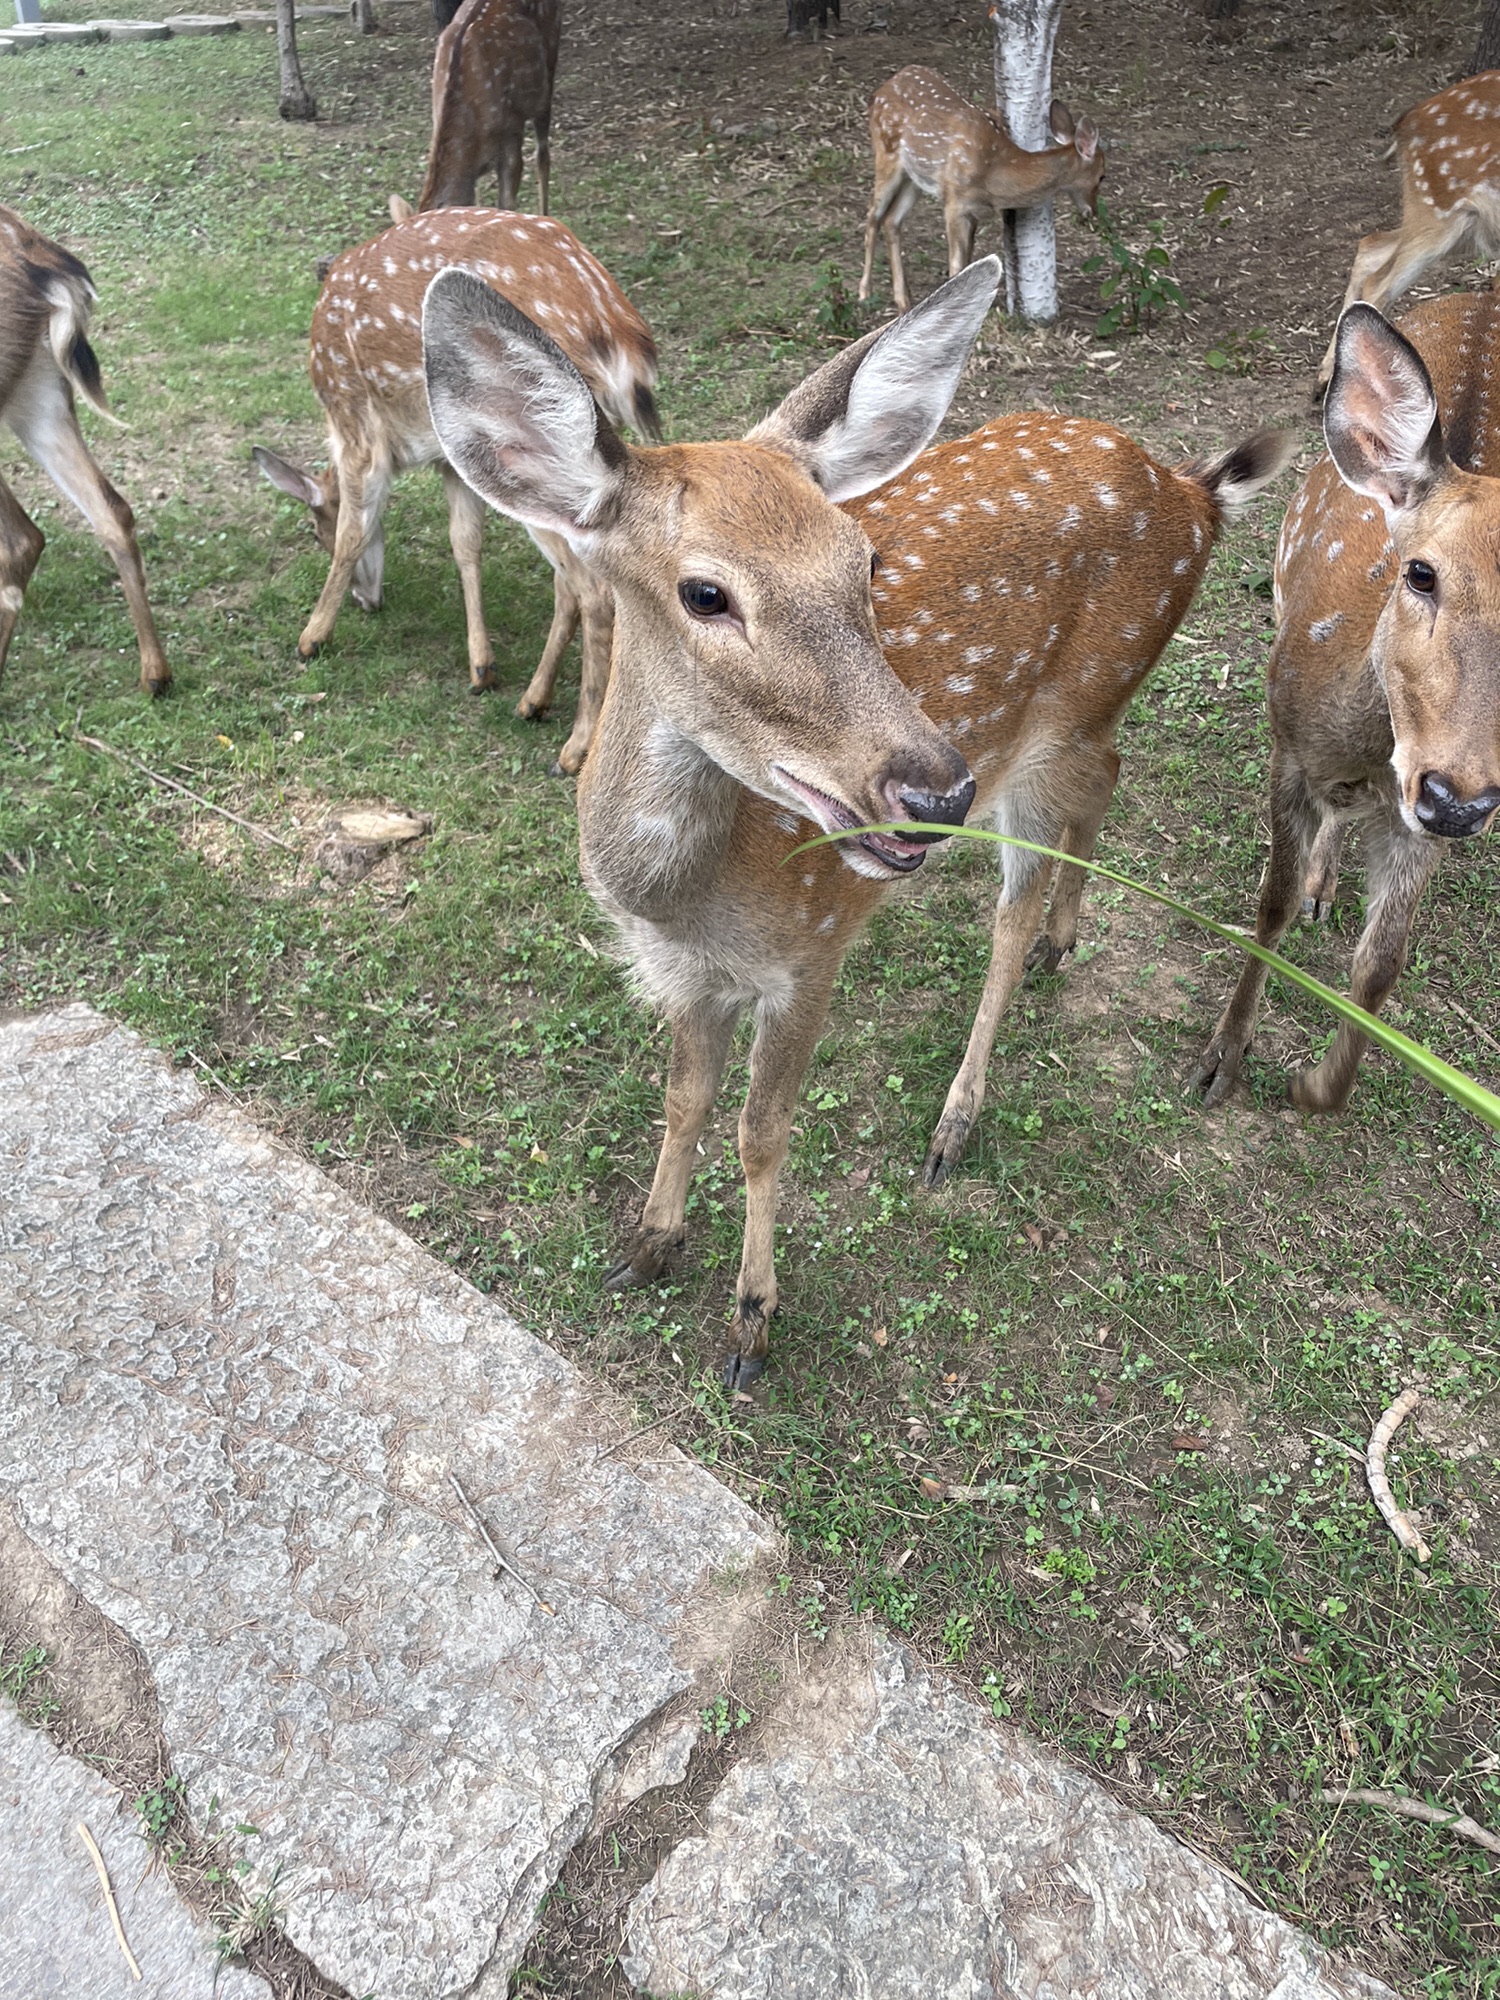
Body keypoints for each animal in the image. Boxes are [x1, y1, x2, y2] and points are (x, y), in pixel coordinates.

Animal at [253, 207, 657, 772]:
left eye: (314, 532)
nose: (366, 601)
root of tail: (616, 328)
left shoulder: (359, 427)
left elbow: (355, 530)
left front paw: (311, 638)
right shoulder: (451, 460)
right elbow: (465, 542)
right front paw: (481, 666)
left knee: (596, 591)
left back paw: (575, 747)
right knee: (571, 585)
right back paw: (534, 700)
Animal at [859, 64, 1103, 314]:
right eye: (1101, 177)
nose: (1092, 211)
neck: (995, 173)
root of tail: (883, 87)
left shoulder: (973, 210)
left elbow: (969, 262)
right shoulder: (954, 202)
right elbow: (956, 264)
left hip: (915, 176)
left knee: (891, 220)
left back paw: (903, 299)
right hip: (886, 154)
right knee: (872, 216)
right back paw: (864, 292)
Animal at [1196, 294, 1500, 1115]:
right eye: (1420, 572)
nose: (1458, 800)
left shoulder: (1420, 824)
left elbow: (1381, 963)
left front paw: (1317, 1086)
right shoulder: (1288, 754)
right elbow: (1267, 906)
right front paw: (1221, 1058)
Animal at [1316, 73, 1500, 396]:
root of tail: (1408, 120)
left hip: (1459, 224)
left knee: (1371, 245)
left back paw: (1325, 377)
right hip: (1438, 209)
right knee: (1378, 281)